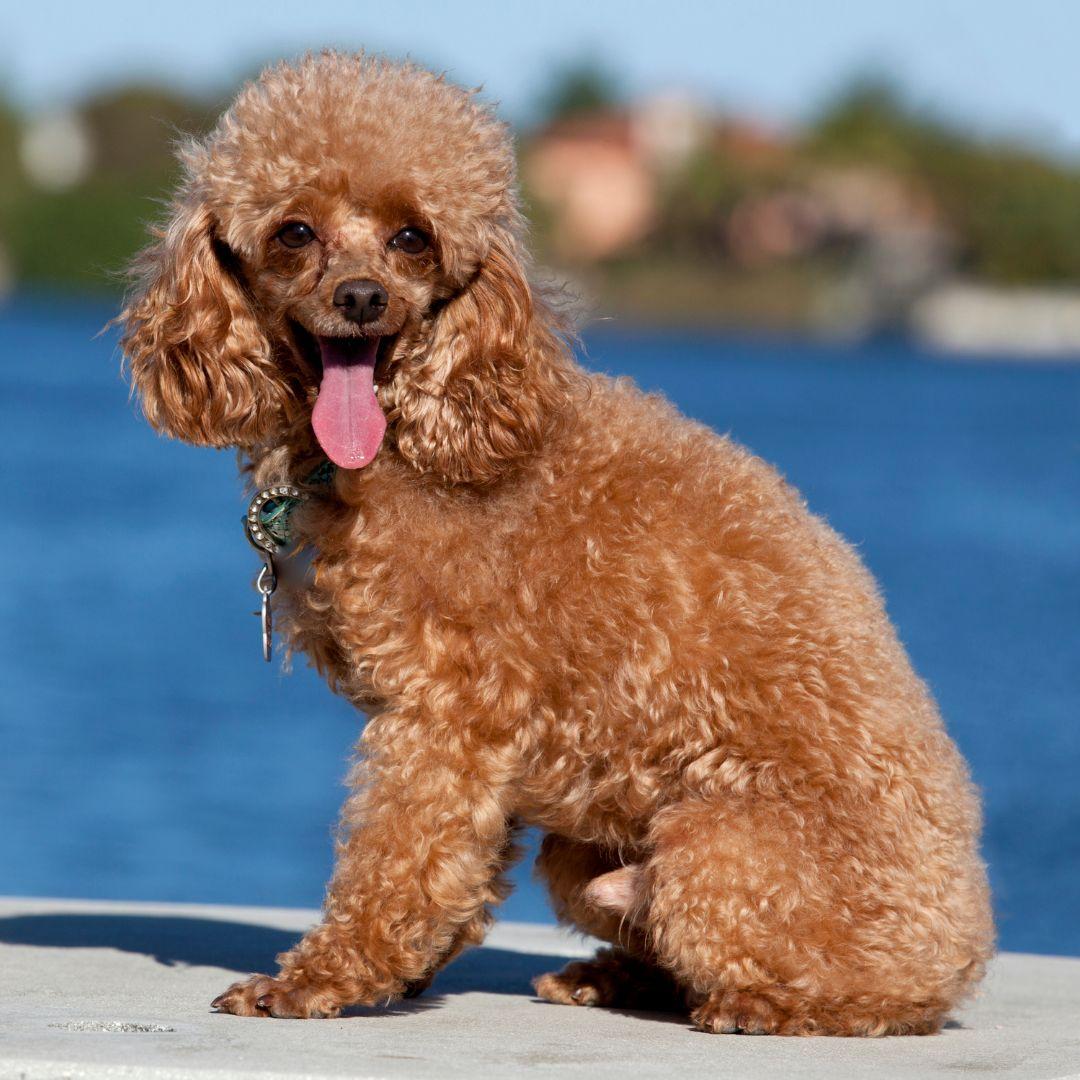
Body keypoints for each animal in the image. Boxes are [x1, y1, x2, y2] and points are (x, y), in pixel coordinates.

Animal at [122, 52, 989, 1036]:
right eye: (294, 233)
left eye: (413, 238)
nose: (362, 298)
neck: (421, 429)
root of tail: (963, 953)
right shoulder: (479, 739)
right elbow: (454, 872)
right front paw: (401, 973)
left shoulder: (445, 715)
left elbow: (399, 858)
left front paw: (323, 979)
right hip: (586, 857)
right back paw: (609, 980)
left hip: (712, 849)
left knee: (845, 995)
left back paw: (757, 1005)